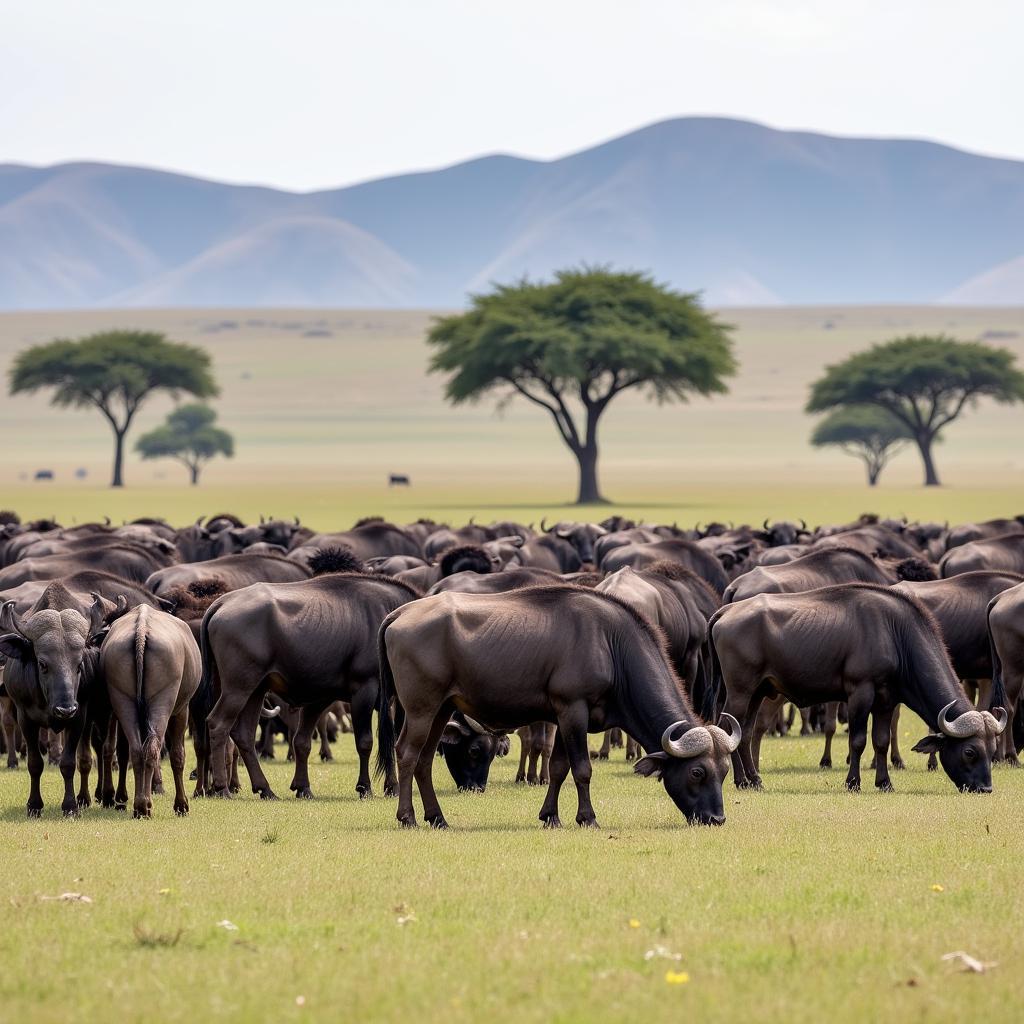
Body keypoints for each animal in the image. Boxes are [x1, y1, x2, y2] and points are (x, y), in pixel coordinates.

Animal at [203, 569, 419, 798]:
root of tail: (222, 602)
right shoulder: (364, 691)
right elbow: (365, 742)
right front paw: (365, 787)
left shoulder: (329, 698)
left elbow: (302, 741)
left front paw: (303, 786)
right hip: (238, 689)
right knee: (218, 724)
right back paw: (222, 787)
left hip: (256, 691)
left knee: (244, 735)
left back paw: (265, 789)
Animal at [372, 589, 741, 827]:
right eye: (697, 772)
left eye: (724, 772)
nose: (716, 818)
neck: (612, 646)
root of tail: (399, 613)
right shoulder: (573, 710)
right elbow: (582, 769)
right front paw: (587, 817)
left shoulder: (564, 718)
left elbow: (560, 767)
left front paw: (550, 815)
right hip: (420, 709)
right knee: (406, 754)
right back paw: (407, 817)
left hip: (441, 710)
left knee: (423, 760)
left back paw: (437, 817)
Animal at [712, 585, 1007, 790]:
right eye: (970, 752)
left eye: (993, 750)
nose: (985, 788)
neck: (895, 634)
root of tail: (726, 611)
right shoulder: (860, 694)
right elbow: (858, 740)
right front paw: (853, 782)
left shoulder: (887, 700)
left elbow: (881, 741)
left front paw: (884, 782)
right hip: (740, 692)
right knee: (728, 728)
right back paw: (741, 780)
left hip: (758, 692)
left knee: (746, 732)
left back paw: (753, 779)